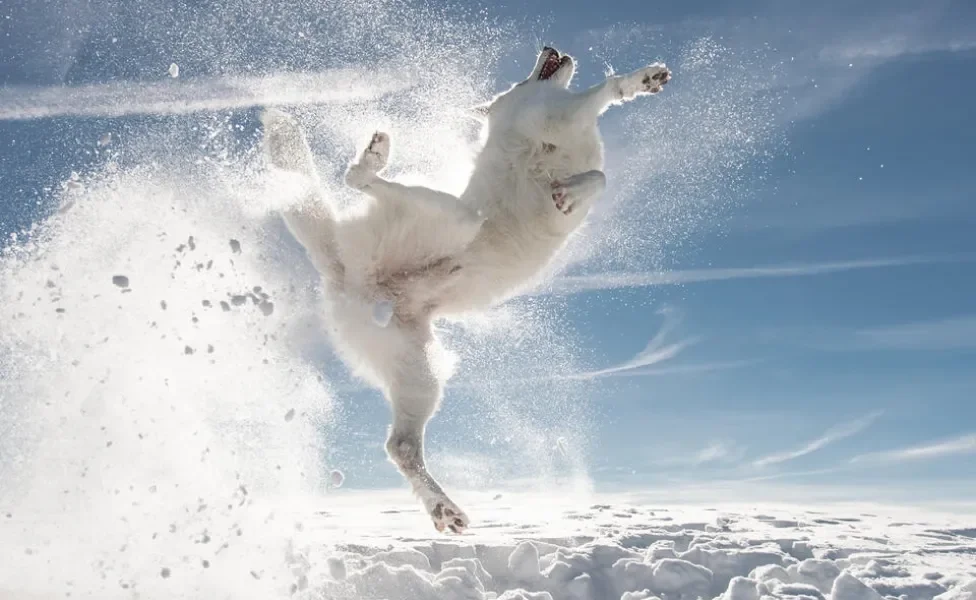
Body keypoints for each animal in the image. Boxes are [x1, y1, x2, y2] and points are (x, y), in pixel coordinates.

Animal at [262, 48, 672, 536]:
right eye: (519, 79)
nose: (548, 47)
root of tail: (345, 269)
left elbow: (601, 176)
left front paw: (570, 190)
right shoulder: (560, 114)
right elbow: (601, 111)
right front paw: (641, 82)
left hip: (420, 372)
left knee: (400, 446)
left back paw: (445, 509)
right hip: (456, 217)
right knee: (356, 182)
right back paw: (373, 156)